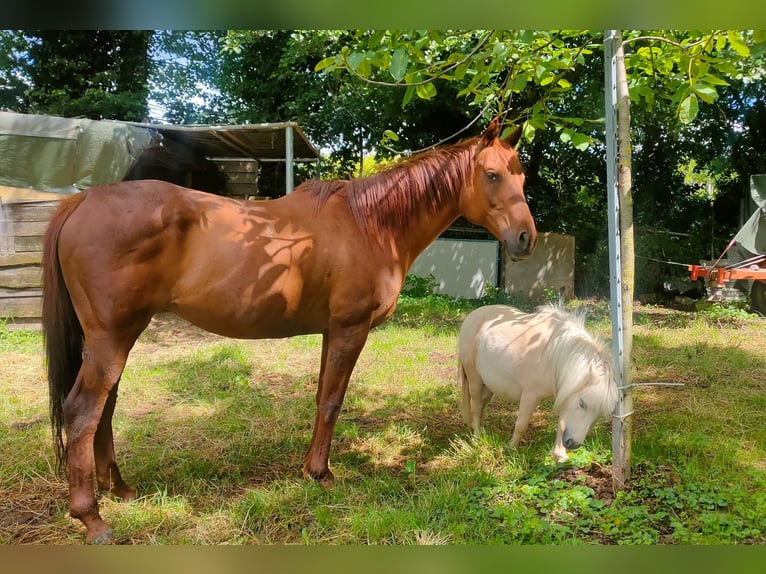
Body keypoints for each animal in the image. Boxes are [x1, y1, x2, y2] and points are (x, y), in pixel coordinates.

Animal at [40, 118, 536, 544]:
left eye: (523, 178)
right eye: (492, 175)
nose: (526, 238)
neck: (369, 224)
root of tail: (84, 201)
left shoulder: (331, 332)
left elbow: (321, 397)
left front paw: (310, 468)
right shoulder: (350, 330)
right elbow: (333, 401)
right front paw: (321, 473)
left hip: (116, 338)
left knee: (105, 407)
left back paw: (119, 488)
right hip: (112, 338)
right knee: (83, 411)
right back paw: (91, 517)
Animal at [460, 306, 620, 464]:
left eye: (599, 414)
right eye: (582, 403)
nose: (573, 444)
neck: (554, 356)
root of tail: (471, 316)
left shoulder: (565, 394)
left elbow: (562, 424)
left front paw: (559, 455)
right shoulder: (530, 397)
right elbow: (521, 425)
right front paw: (511, 449)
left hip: (488, 385)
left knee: (482, 405)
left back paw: (480, 429)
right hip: (474, 378)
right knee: (476, 407)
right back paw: (477, 438)